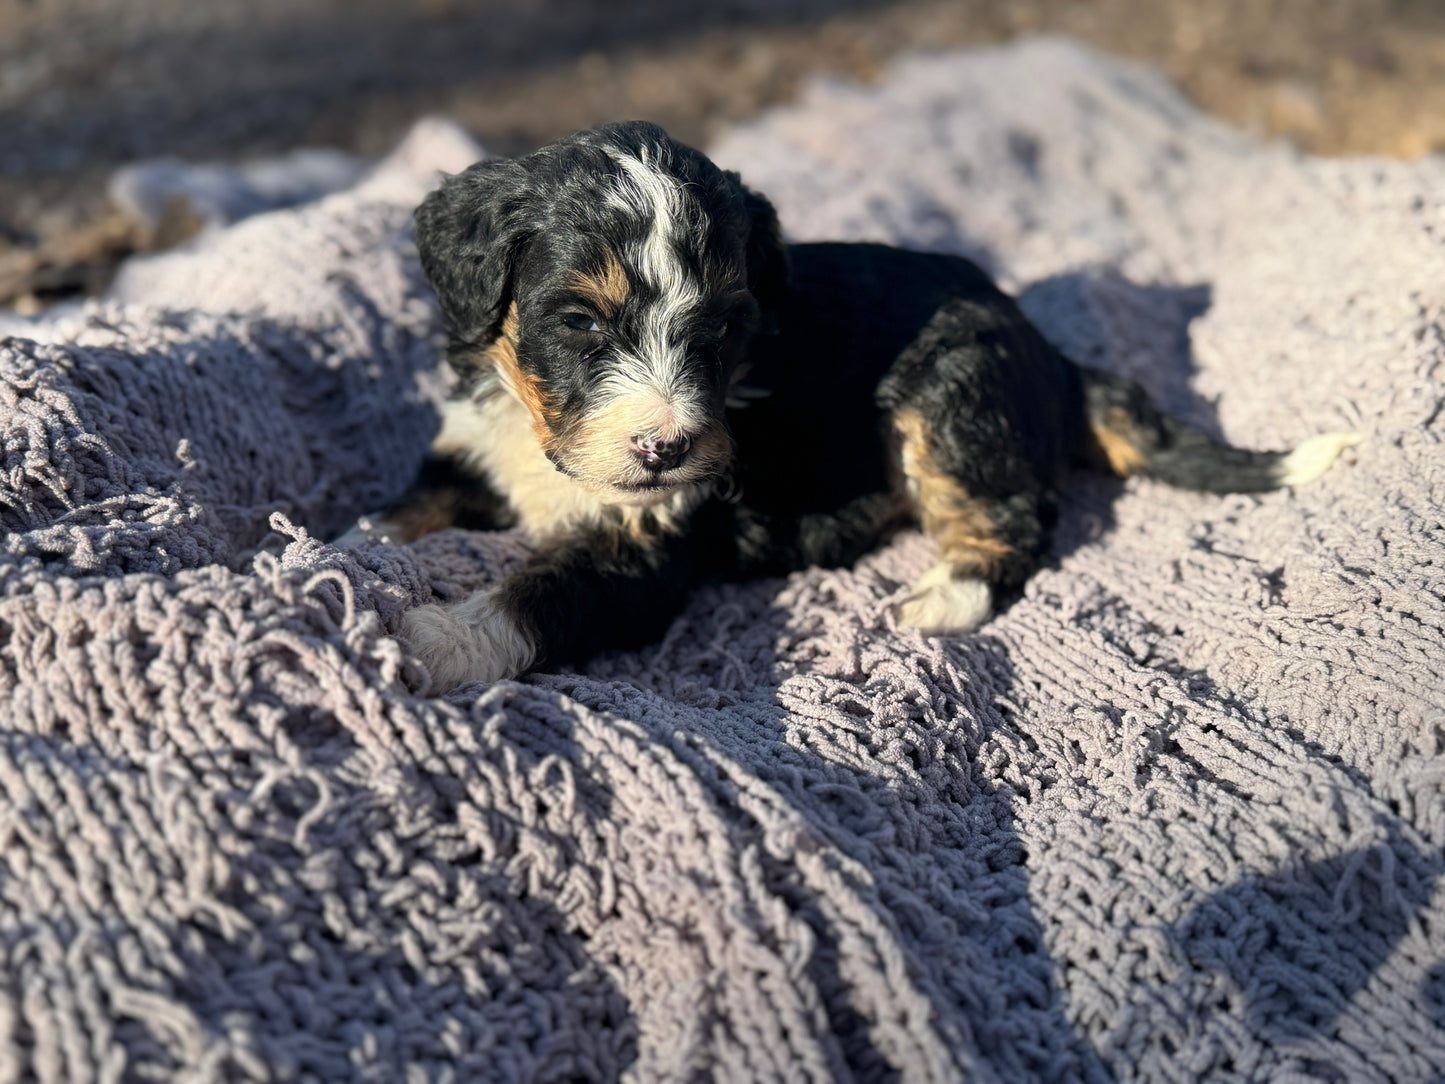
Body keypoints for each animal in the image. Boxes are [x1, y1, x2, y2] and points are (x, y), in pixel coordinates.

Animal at [355, 122, 1358, 690]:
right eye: (579, 321)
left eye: (723, 330)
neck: (536, 439)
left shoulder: (648, 547)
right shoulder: (468, 450)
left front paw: (438, 642)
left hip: (945, 399)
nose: (667, 449)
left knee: (1015, 521)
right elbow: (400, 516)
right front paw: (347, 549)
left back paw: (937, 601)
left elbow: (543, 592)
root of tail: (1050, 357)